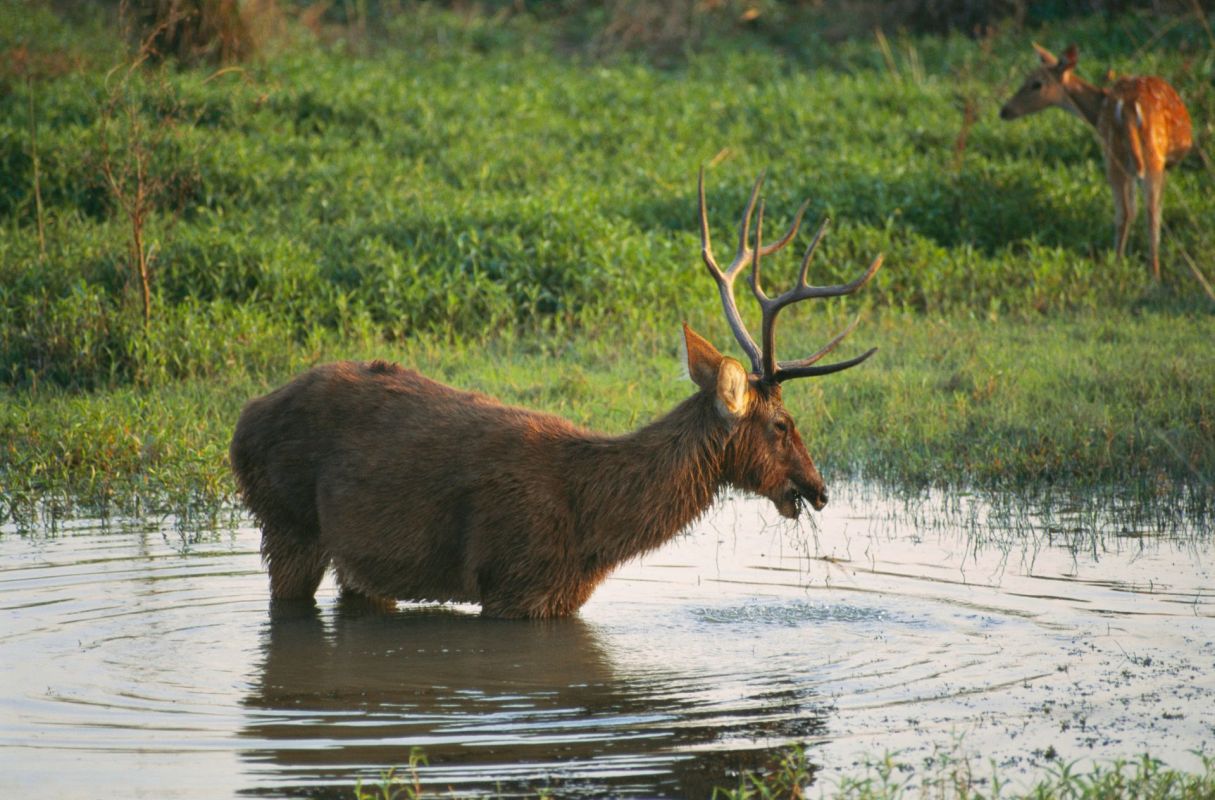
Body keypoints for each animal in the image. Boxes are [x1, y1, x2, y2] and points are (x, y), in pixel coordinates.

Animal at [229, 171, 883, 619]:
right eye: (782, 424)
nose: (820, 490)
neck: (594, 530)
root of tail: (240, 423)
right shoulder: (511, 582)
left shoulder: (556, 597)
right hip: (286, 522)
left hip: (358, 561)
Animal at [999, 43, 1192, 282]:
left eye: (1036, 83)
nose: (1004, 110)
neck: (1096, 108)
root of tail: (1128, 107)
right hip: (1146, 153)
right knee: (1144, 211)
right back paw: (1144, 271)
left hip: (1119, 153)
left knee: (1132, 210)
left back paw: (1124, 265)